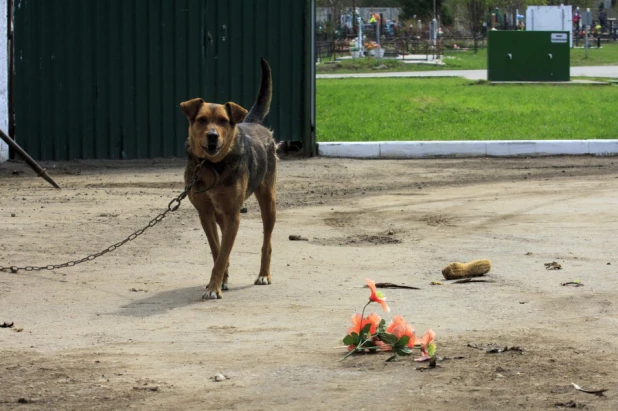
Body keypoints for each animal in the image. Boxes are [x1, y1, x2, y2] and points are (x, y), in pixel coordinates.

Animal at [178, 58, 274, 300]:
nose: (212, 136)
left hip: (268, 201)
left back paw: (264, 274)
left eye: (223, 121)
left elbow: (221, 254)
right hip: (221, 214)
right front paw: (220, 280)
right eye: (201, 120)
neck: (212, 166)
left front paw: (214, 288)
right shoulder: (206, 213)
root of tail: (253, 123)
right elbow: (217, 250)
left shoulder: (233, 214)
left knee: (267, 241)